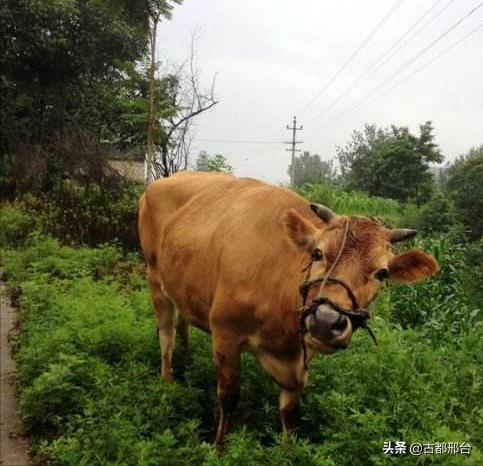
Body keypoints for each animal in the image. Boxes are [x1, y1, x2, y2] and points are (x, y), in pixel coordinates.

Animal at [137, 171, 438, 444]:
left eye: (383, 273)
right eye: (317, 252)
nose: (326, 321)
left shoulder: (297, 362)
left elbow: (290, 413)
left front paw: (288, 451)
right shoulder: (225, 335)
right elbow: (229, 397)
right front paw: (218, 447)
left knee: (182, 322)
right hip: (154, 278)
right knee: (166, 335)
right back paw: (167, 382)